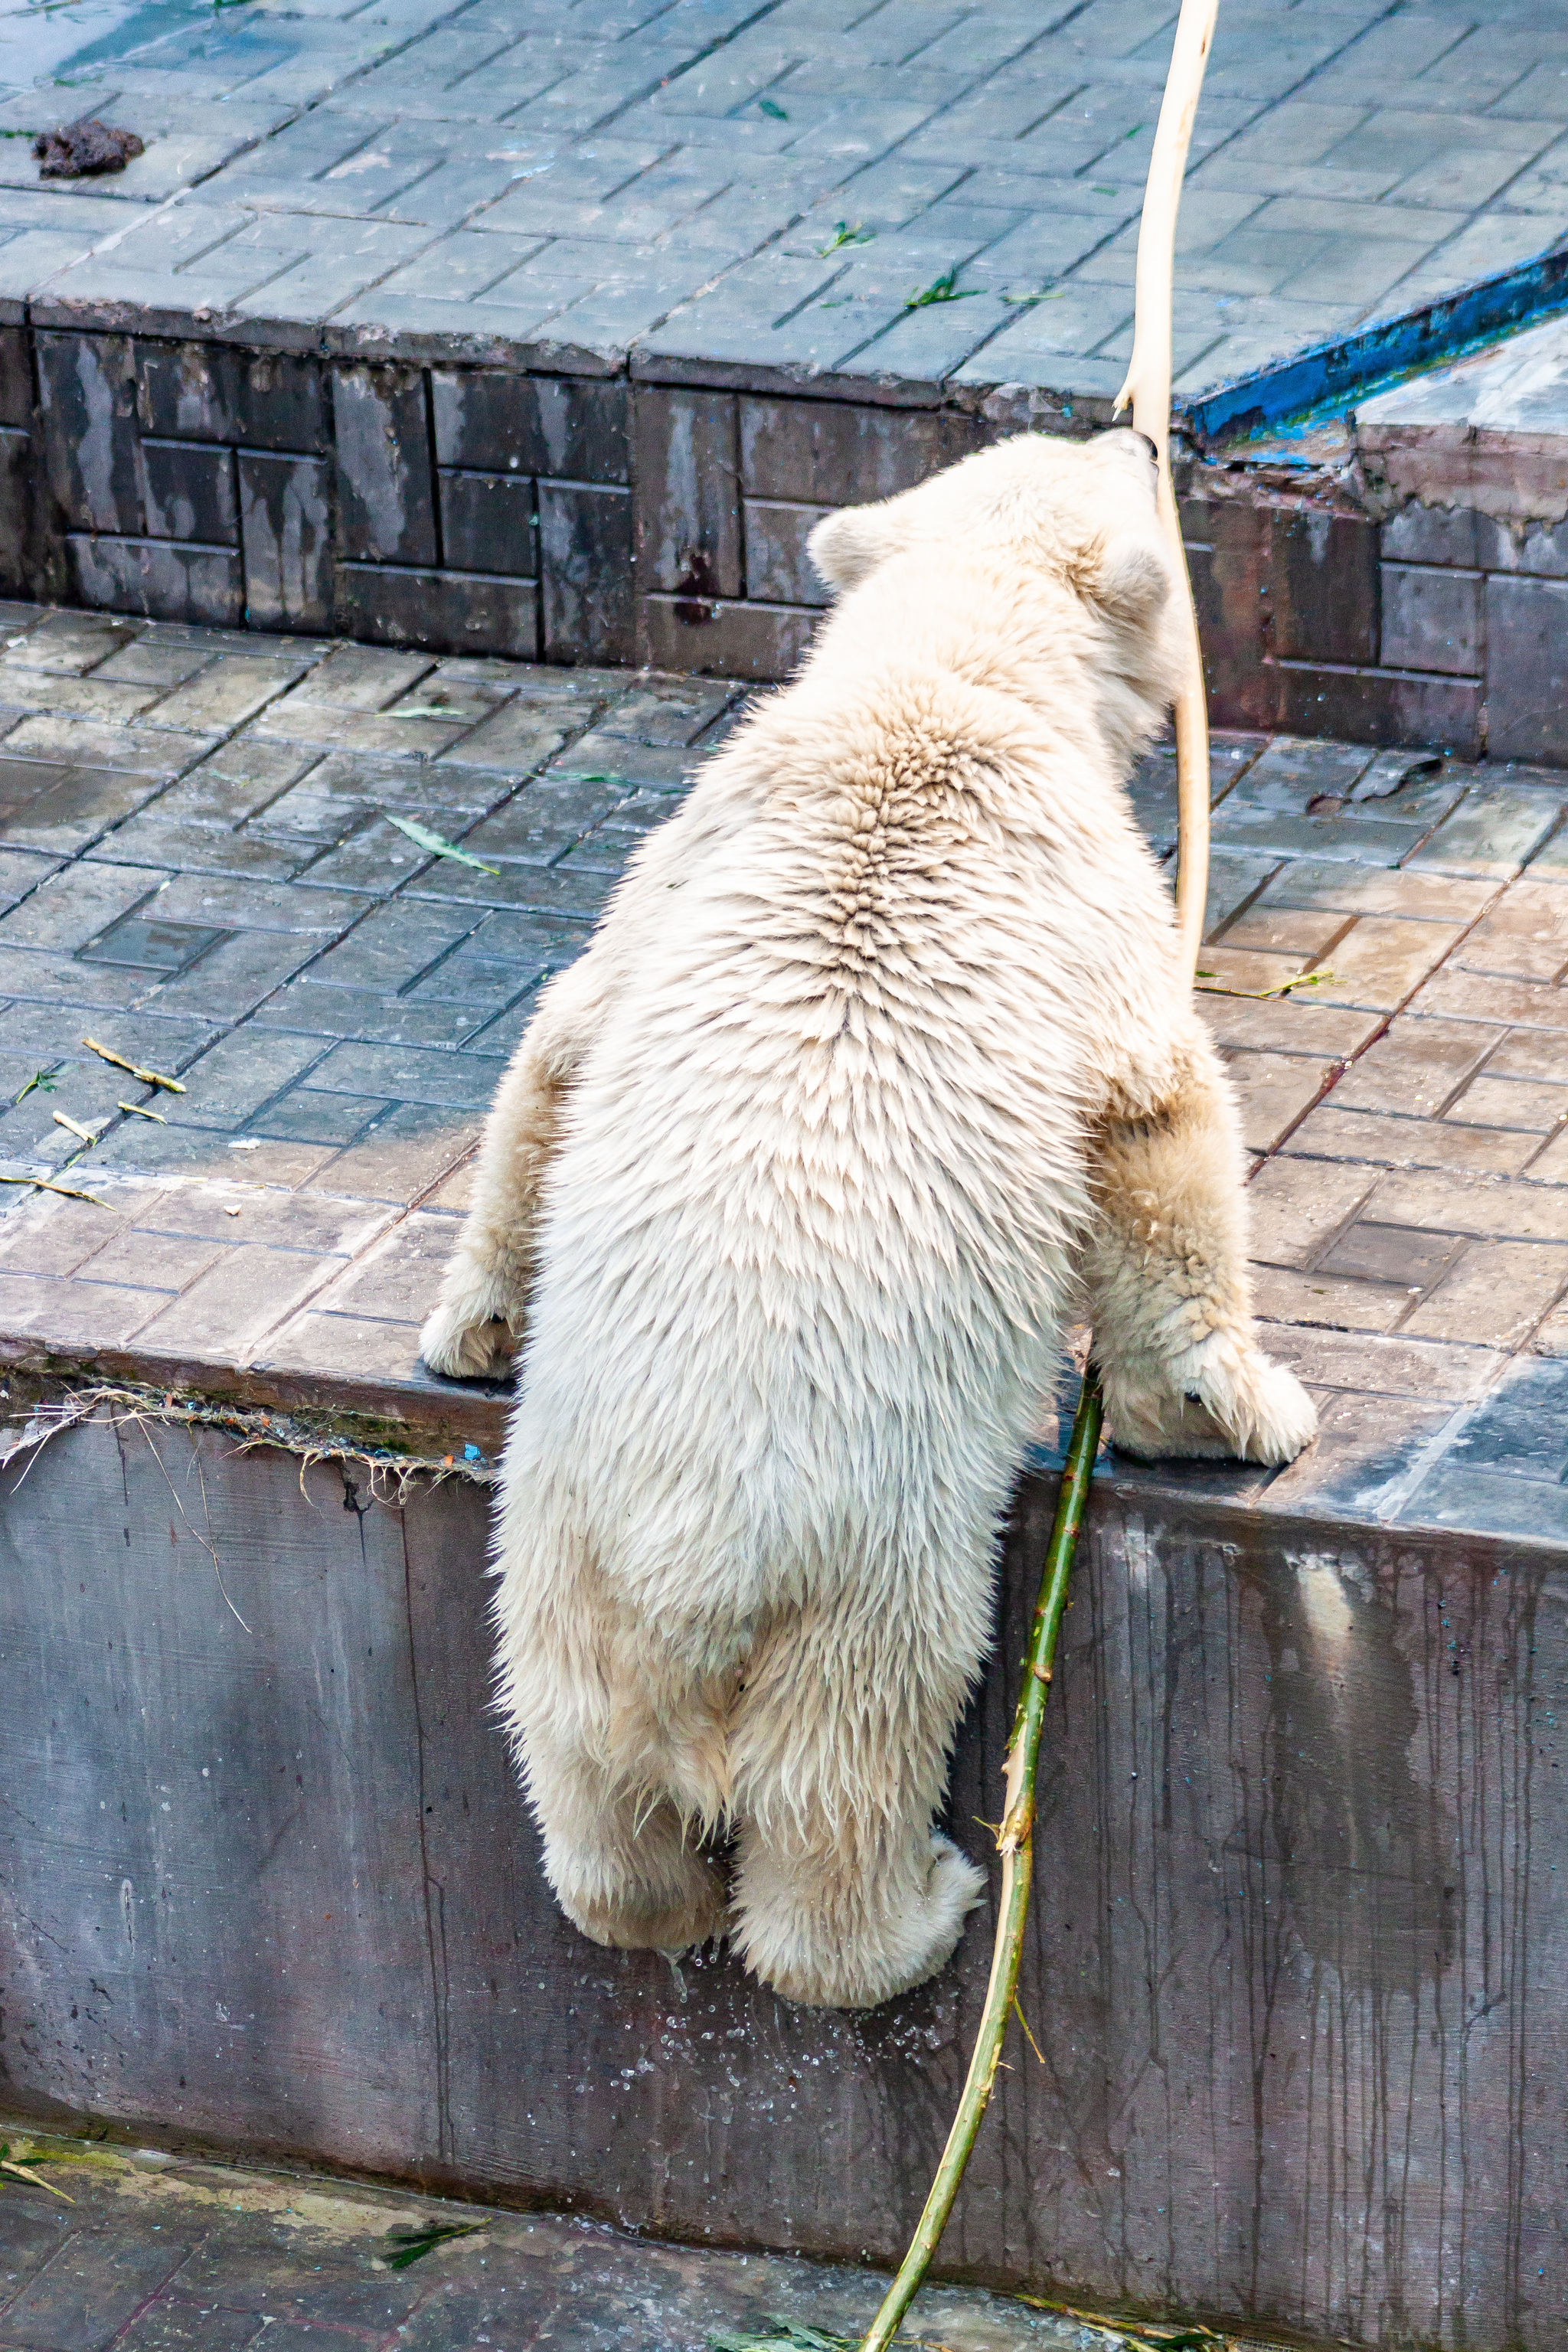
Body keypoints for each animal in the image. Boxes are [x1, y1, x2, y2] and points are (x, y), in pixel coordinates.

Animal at [416, 423, 1316, 2004]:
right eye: (1121, 471)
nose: (1144, 427)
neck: (939, 680)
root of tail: (689, 1569)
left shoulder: (682, 854)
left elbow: (564, 1042)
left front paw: (475, 1318)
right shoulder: (1083, 896)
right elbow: (1153, 1125)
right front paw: (1229, 1408)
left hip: (550, 1550)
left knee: (580, 1769)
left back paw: (644, 1900)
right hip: (866, 1560)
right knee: (848, 1764)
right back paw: (925, 1903)